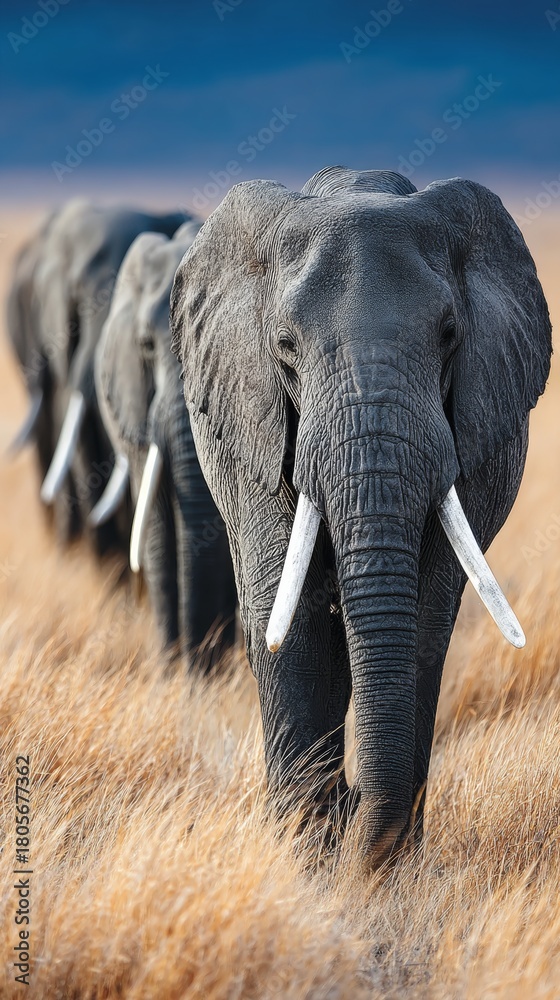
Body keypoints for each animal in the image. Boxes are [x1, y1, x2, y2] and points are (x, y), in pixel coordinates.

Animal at [170, 167, 552, 870]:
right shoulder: (258, 430)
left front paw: (380, 869)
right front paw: (306, 863)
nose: (353, 814)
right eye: (284, 346)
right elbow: (285, 618)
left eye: (450, 335)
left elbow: (424, 617)